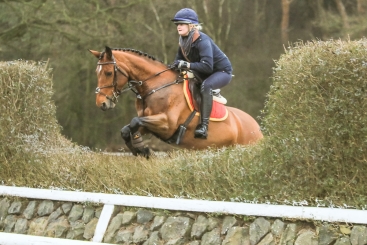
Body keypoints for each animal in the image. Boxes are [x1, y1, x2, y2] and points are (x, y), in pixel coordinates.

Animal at [90, 46, 264, 157]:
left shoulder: (167, 124)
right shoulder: (149, 123)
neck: (156, 86)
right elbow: (127, 129)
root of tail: (258, 129)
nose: (101, 103)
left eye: (108, 72)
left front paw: (142, 148)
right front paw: (141, 149)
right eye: (97, 72)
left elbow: (134, 121)